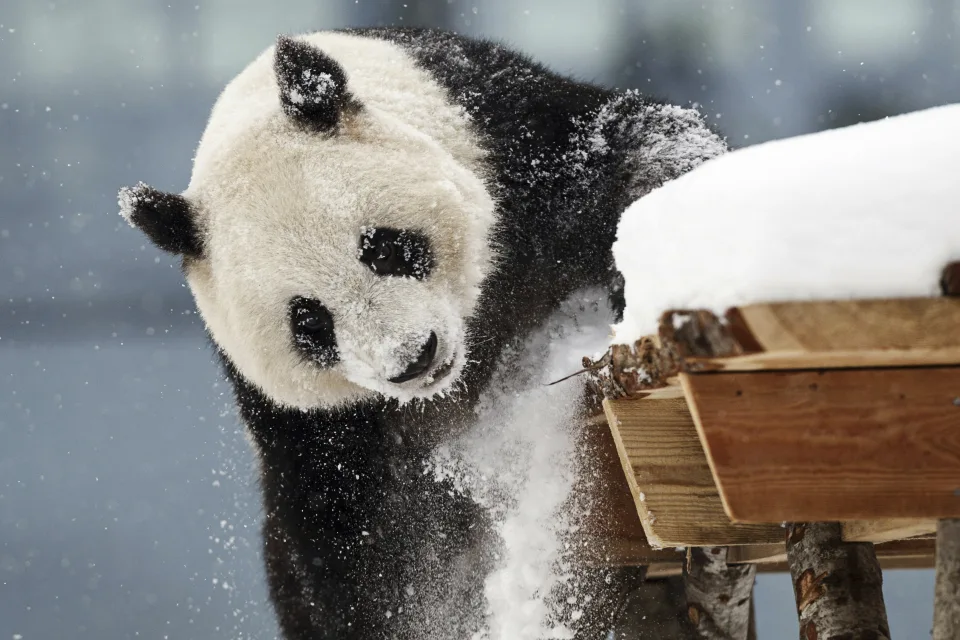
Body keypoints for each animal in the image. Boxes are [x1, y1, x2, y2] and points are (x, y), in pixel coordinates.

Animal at [116, 26, 724, 640]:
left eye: (382, 248)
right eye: (309, 322)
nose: (412, 359)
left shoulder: (513, 146)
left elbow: (633, 148)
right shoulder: (306, 423)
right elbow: (351, 542)